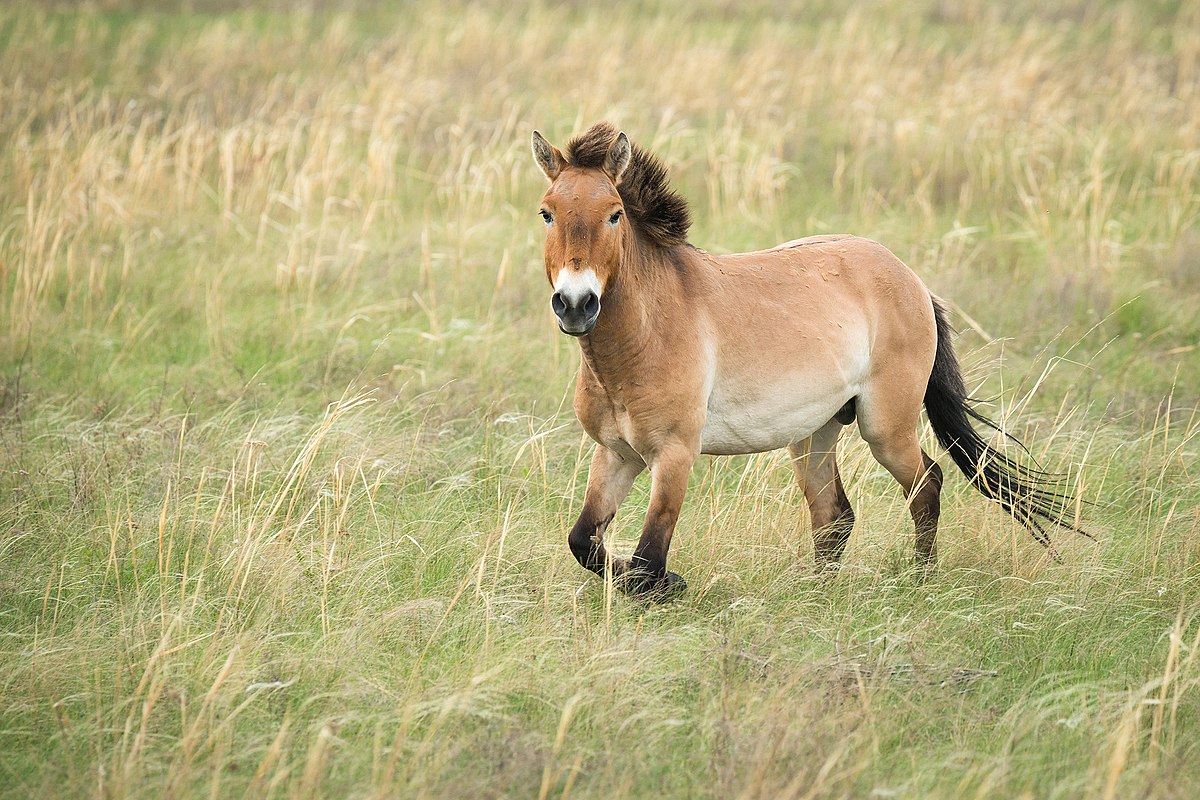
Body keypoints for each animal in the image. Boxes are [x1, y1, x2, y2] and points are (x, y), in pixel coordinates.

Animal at [535, 123, 1089, 599]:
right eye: (547, 213)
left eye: (614, 213)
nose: (576, 304)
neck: (644, 335)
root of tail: (910, 277)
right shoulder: (616, 453)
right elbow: (584, 541)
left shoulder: (674, 455)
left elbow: (649, 558)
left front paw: (668, 584)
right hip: (814, 433)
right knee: (833, 514)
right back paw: (816, 592)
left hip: (884, 429)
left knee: (926, 486)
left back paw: (920, 579)